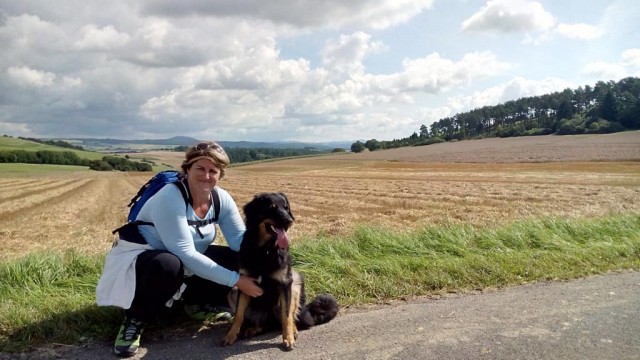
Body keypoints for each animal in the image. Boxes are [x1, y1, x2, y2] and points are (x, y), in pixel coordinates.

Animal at [221, 193, 338, 350]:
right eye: (272, 207)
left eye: (286, 207)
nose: (289, 221)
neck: (264, 251)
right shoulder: (244, 284)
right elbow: (238, 315)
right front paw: (231, 336)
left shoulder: (285, 283)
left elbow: (286, 315)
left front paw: (288, 338)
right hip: (233, 291)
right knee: (264, 324)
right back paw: (253, 329)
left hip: (296, 283)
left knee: (289, 318)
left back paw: (292, 330)